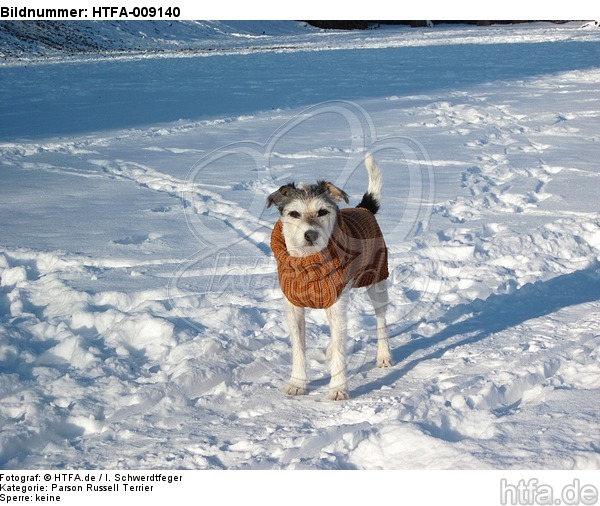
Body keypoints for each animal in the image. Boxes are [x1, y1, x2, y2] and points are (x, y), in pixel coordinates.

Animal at [268, 154, 394, 400]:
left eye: (322, 212)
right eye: (294, 213)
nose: (310, 234)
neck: (308, 262)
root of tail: (364, 209)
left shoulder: (336, 304)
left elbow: (340, 349)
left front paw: (338, 389)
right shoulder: (294, 308)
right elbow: (299, 348)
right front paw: (297, 382)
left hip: (377, 282)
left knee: (381, 320)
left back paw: (384, 356)